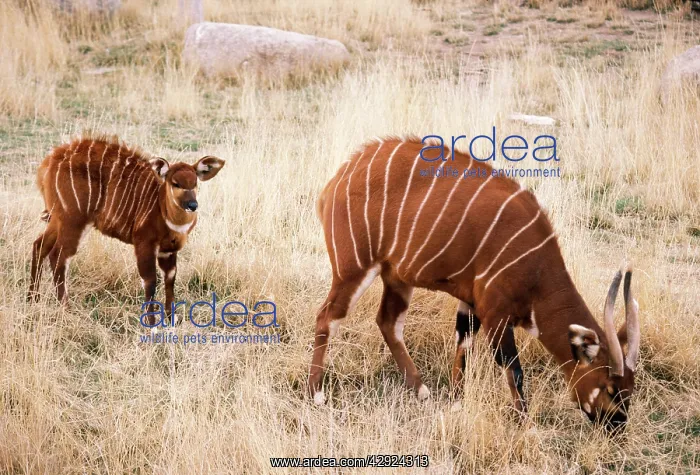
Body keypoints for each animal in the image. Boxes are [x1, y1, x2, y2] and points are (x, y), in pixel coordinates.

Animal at [28, 133, 225, 325]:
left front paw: (171, 320)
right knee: (58, 256)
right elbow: (150, 281)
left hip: (59, 219)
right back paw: (65, 308)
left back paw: (33, 298)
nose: (192, 205)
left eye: (195, 184)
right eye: (176, 183)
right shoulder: (144, 243)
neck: (163, 209)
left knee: (39, 245)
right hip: (73, 221)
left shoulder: (168, 250)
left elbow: (170, 278)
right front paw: (152, 325)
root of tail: (49, 162)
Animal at [309, 136, 640, 433]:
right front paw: (526, 425)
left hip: (396, 277)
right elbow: (513, 368)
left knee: (388, 322)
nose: (617, 426)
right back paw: (316, 394)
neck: (536, 271)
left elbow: (463, 344)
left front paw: (456, 402)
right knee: (327, 317)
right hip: (353, 269)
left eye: (631, 389)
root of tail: (337, 179)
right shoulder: (496, 312)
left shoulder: (470, 302)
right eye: (610, 387)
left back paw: (421, 390)